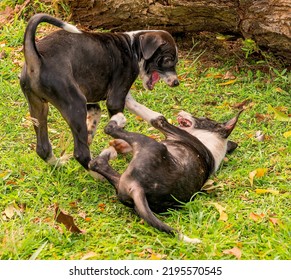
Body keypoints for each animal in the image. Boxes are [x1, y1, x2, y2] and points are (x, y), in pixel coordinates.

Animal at [19, 14, 179, 174]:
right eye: (168, 60)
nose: (176, 83)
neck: (132, 46)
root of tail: (35, 58)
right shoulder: (115, 99)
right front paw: (122, 144)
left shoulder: (124, 98)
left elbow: (146, 113)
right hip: (75, 105)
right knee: (81, 154)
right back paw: (100, 173)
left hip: (38, 108)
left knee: (43, 149)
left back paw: (60, 163)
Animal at [89, 94, 242, 243]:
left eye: (204, 119)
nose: (181, 111)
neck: (212, 143)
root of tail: (138, 188)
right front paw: (119, 145)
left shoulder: (170, 129)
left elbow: (157, 118)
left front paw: (129, 101)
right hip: (122, 181)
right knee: (98, 164)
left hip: (151, 145)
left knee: (101, 149)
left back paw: (117, 122)